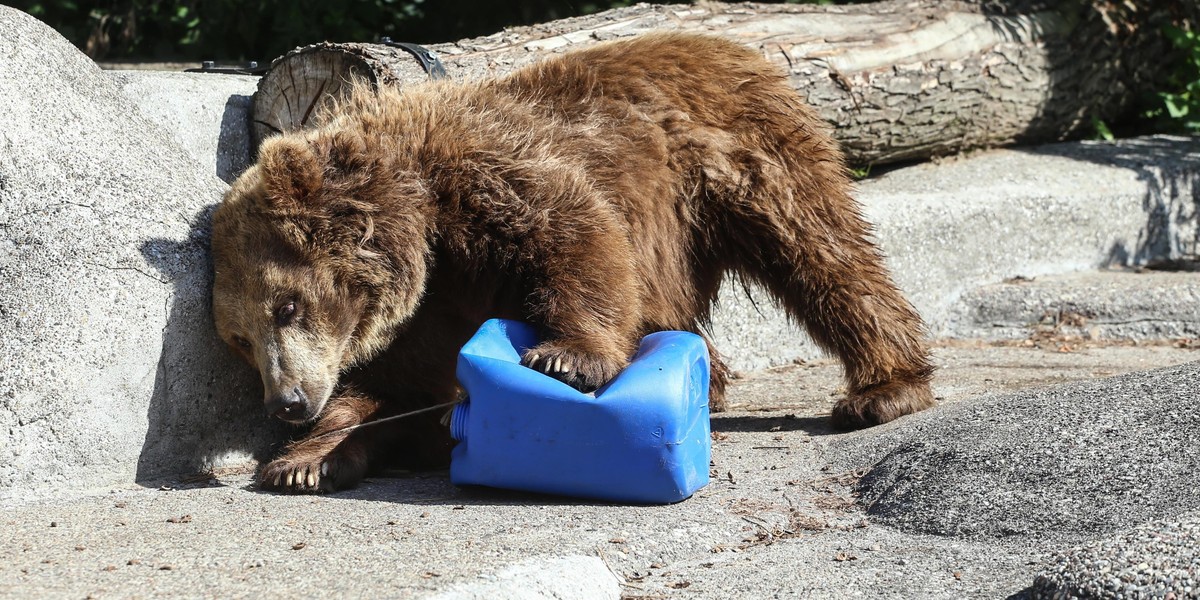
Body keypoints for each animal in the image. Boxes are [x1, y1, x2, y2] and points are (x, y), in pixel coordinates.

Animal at [211, 31, 931, 492]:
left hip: (741, 160)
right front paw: (307, 459)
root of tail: (732, 43)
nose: (286, 402)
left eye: (287, 304)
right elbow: (394, 389)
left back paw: (882, 389)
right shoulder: (422, 315)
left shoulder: (490, 179)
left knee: (824, 251)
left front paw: (565, 357)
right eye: (240, 339)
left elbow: (578, 239)